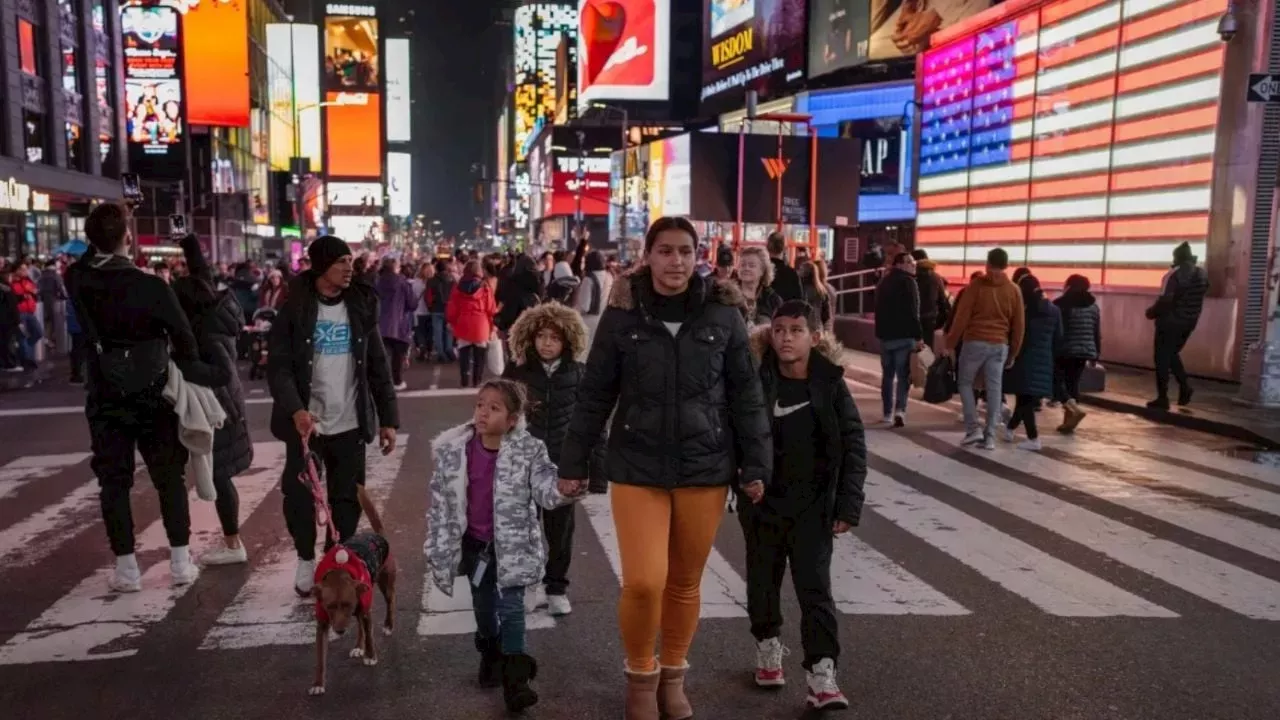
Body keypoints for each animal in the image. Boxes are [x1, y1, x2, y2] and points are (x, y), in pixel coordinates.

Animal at [308, 484, 394, 691]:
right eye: (330, 607)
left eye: (347, 604)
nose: (339, 631)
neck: (339, 571)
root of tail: (378, 534)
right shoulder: (323, 623)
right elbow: (320, 657)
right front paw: (318, 683)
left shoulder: (365, 611)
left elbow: (370, 635)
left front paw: (370, 656)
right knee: (360, 625)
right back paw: (358, 646)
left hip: (385, 584)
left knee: (390, 602)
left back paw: (388, 625)